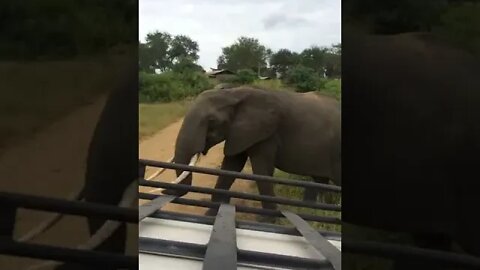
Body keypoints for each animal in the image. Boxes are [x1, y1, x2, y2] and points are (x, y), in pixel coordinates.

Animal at [162, 86, 342, 215]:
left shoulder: (266, 133)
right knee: (320, 181)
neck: (234, 93)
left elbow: (262, 171)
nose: (165, 189)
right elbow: (231, 166)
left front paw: (268, 221)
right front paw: (211, 214)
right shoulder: (241, 132)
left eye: (212, 121)